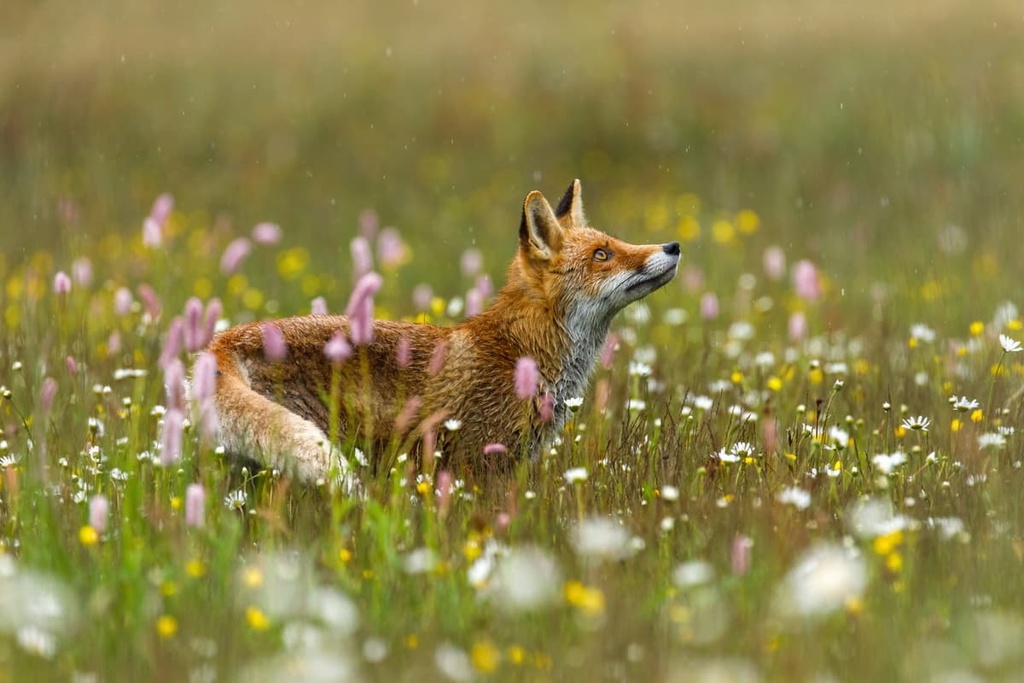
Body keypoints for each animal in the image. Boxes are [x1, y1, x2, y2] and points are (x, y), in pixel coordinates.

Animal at [205, 180, 680, 482]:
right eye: (603, 254)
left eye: (612, 244)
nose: (673, 246)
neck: (519, 353)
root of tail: (222, 340)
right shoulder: (475, 461)